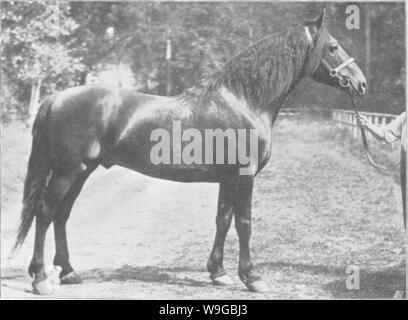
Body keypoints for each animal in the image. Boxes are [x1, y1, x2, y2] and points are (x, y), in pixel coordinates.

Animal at [15, 9, 366, 296]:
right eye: (333, 47)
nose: (360, 83)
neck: (243, 100)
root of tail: (56, 98)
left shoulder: (228, 178)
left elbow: (223, 219)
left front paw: (219, 273)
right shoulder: (244, 175)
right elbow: (244, 222)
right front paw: (253, 278)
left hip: (81, 172)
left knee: (61, 215)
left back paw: (69, 272)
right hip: (67, 171)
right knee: (45, 213)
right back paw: (41, 279)